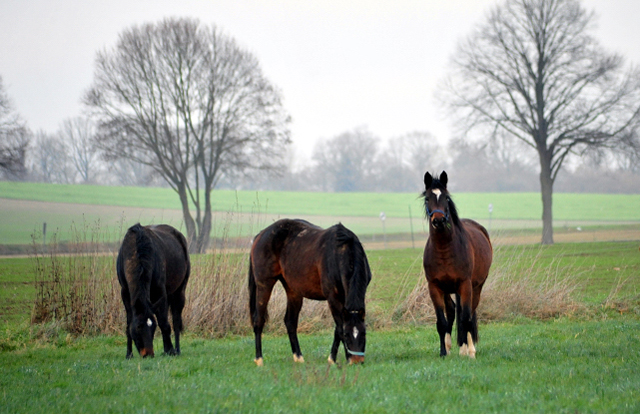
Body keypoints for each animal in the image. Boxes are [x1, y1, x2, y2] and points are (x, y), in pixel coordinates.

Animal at [116, 223, 190, 360]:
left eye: (153, 327)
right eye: (138, 327)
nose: (148, 354)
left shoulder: (160, 293)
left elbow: (164, 323)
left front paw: (170, 350)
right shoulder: (125, 293)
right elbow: (128, 324)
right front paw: (129, 354)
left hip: (179, 292)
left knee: (176, 321)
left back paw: (176, 349)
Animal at [249, 218, 372, 368]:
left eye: (364, 334)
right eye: (347, 335)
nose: (356, 361)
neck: (342, 252)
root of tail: (261, 234)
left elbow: (337, 328)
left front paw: (334, 358)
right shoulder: (333, 298)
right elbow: (339, 327)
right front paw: (334, 359)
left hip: (293, 290)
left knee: (290, 321)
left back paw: (298, 357)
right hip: (264, 284)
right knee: (258, 320)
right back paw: (259, 359)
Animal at [422, 172, 492, 360]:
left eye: (446, 197)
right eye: (427, 198)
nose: (438, 220)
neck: (444, 250)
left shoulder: (465, 285)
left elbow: (466, 318)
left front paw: (468, 351)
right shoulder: (435, 287)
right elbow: (441, 321)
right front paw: (443, 352)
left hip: (476, 288)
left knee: (468, 314)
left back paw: (467, 348)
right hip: (448, 290)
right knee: (453, 310)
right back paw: (451, 346)